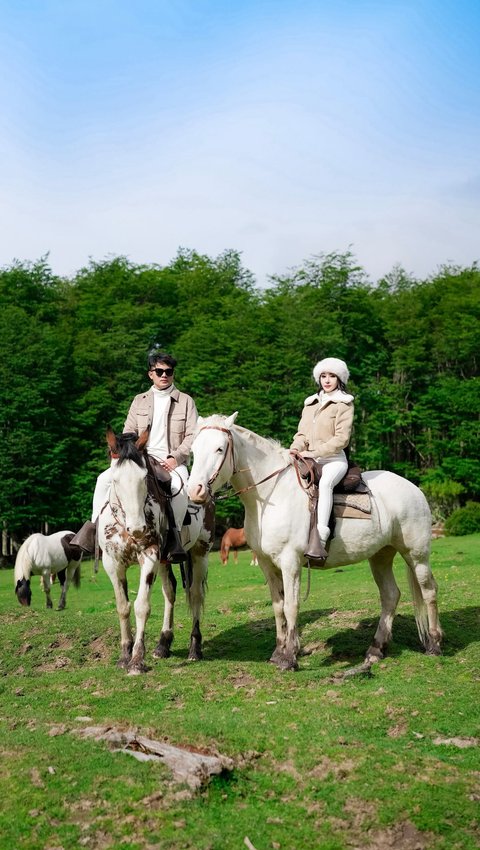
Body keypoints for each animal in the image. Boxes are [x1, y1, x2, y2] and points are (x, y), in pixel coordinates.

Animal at [98, 428, 213, 672]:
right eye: (115, 480)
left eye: (144, 478)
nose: (137, 528)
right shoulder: (112, 564)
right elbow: (123, 607)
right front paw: (125, 654)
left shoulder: (150, 556)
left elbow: (142, 606)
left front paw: (136, 660)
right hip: (165, 561)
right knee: (170, 590)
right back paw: (163, 644)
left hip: (200, 553)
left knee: (195, 595)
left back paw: (194, 649)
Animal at [188, 414, 442, 672]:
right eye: (193, 450)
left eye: (220, 448)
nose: (194, 490)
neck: (272, 494)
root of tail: (414, 489)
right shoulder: (267, 564)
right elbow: (278, 607)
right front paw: (278, 653)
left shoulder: (290, 563)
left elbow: (291, 606)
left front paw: (289, 658)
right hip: (381, 555)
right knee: (390, 595)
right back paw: (375, 650)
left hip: (416, 555)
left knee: (429, 590)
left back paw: (434, 644)